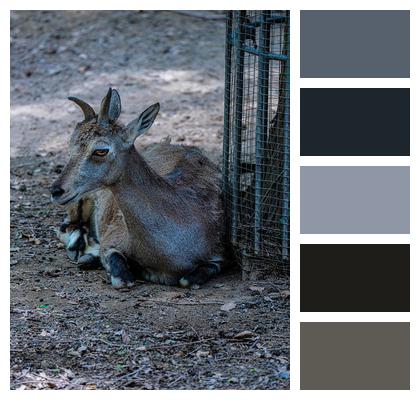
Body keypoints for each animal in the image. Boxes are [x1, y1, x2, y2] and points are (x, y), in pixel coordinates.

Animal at [50, 88, 225, 288]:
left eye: (101, 150)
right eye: (71, 145)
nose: (56, 191)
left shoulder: (218, 255)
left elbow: (188, 280)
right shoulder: (113, 238)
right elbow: (121, 278)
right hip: (81, 200)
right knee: (66, 226)